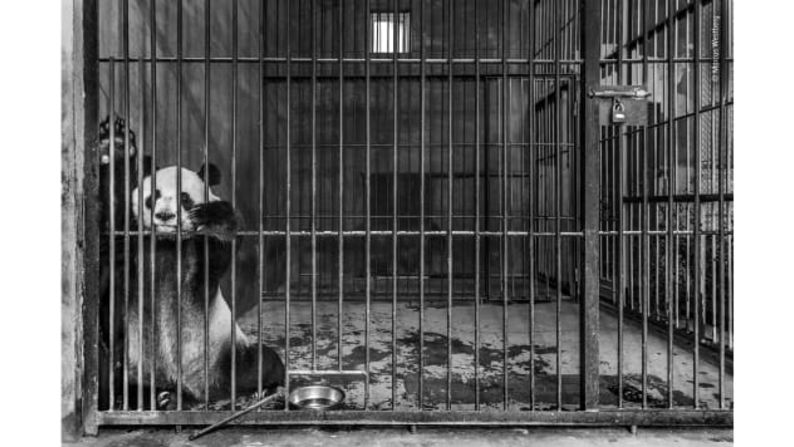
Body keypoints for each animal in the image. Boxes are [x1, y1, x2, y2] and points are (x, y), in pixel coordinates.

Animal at [120, 164, 284, 410]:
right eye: (153, 196)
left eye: (184, 198)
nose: (165, 216)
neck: (167, 243)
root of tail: (194, 390)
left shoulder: (198, 262)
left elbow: (223, 243)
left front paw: (212, 216)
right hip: (135, 359)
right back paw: (157, 398)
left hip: (222, 352)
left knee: (262, 363)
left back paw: (267, 390)